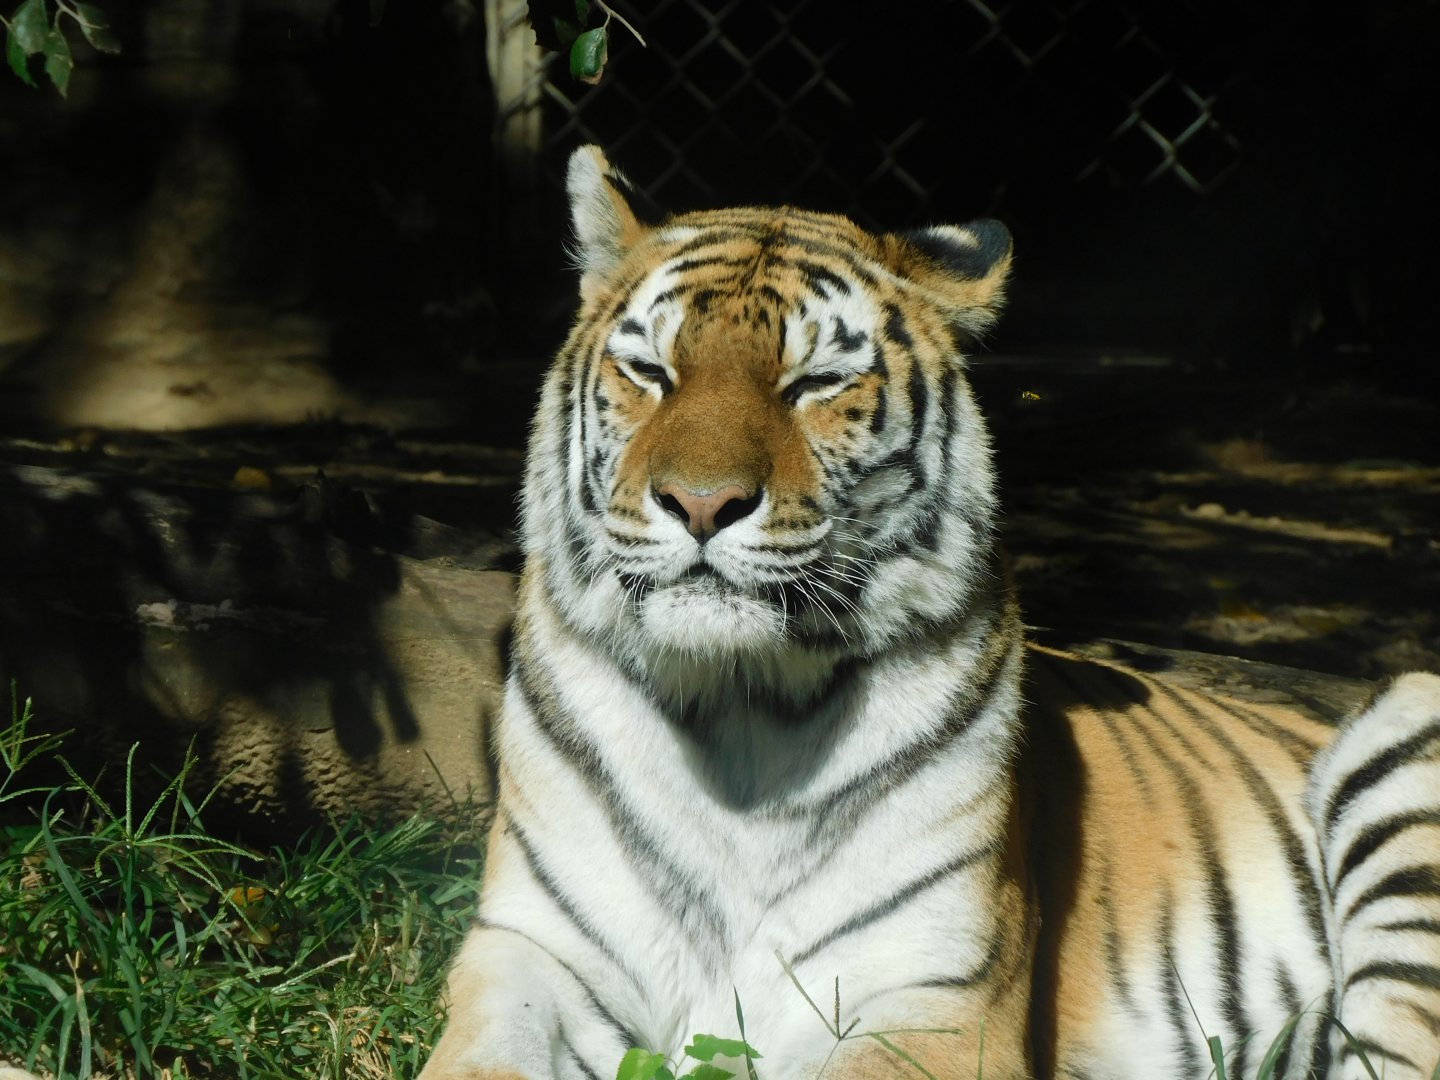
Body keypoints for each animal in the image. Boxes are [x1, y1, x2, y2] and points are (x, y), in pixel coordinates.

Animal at [417, 145, 1440, 1080]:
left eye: (814, 384)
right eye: (650, 371)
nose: (702, 504)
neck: (738, 718)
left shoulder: (938, 999)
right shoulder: (531, 953)